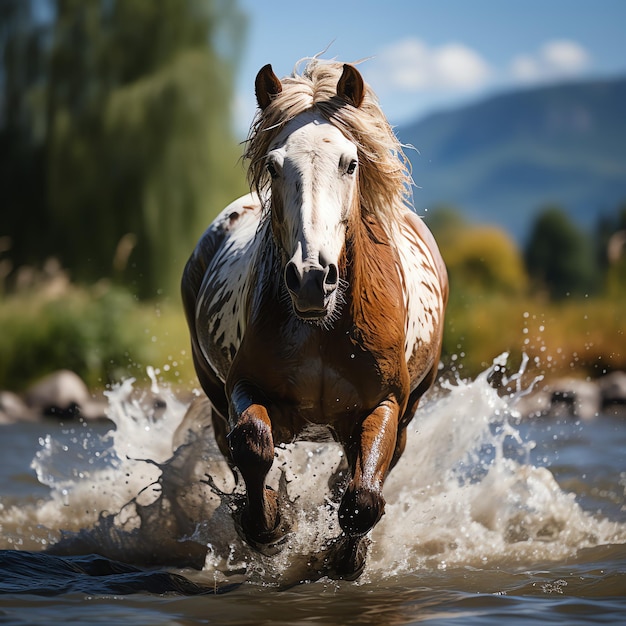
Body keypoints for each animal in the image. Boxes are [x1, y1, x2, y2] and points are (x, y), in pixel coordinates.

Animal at [178, 61, 446, 576]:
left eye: (351, 162)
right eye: (273, 165)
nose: (310, 277)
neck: (325, 328)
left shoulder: (386, 402)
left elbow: (363, 497)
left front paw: (344, 558)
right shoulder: (243, 387)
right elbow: (253, 444)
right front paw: (270, 528)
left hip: (408, 411)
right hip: (216, 396)